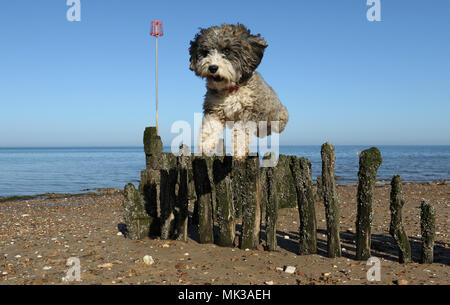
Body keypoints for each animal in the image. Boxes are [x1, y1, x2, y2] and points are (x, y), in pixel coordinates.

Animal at [189, 23, 288, 159]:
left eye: (226, 51)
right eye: (206, 52)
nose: (213, 67)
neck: (231, 90)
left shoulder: (249, 112)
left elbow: (241, 132)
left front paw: (240, 152)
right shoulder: (214, 110)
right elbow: (210, 128)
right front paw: (206, 145)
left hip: (279, 117)